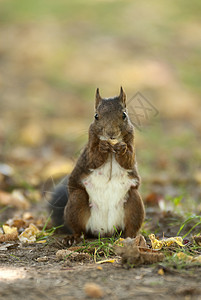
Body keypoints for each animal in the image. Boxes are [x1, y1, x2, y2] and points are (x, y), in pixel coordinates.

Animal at [49, 87, 145, 239]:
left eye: (124, 115)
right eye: (96, 116)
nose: (111, 133)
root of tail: (104, 231)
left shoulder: (131, 143)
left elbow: (128, 161)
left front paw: (121, 148)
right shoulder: (88, 152)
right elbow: (94, 159)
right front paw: (102, 147)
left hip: (134, 201)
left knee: (131, 225)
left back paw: (130, 237)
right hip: (76, 201)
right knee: (78, 229)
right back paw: (74, 238)